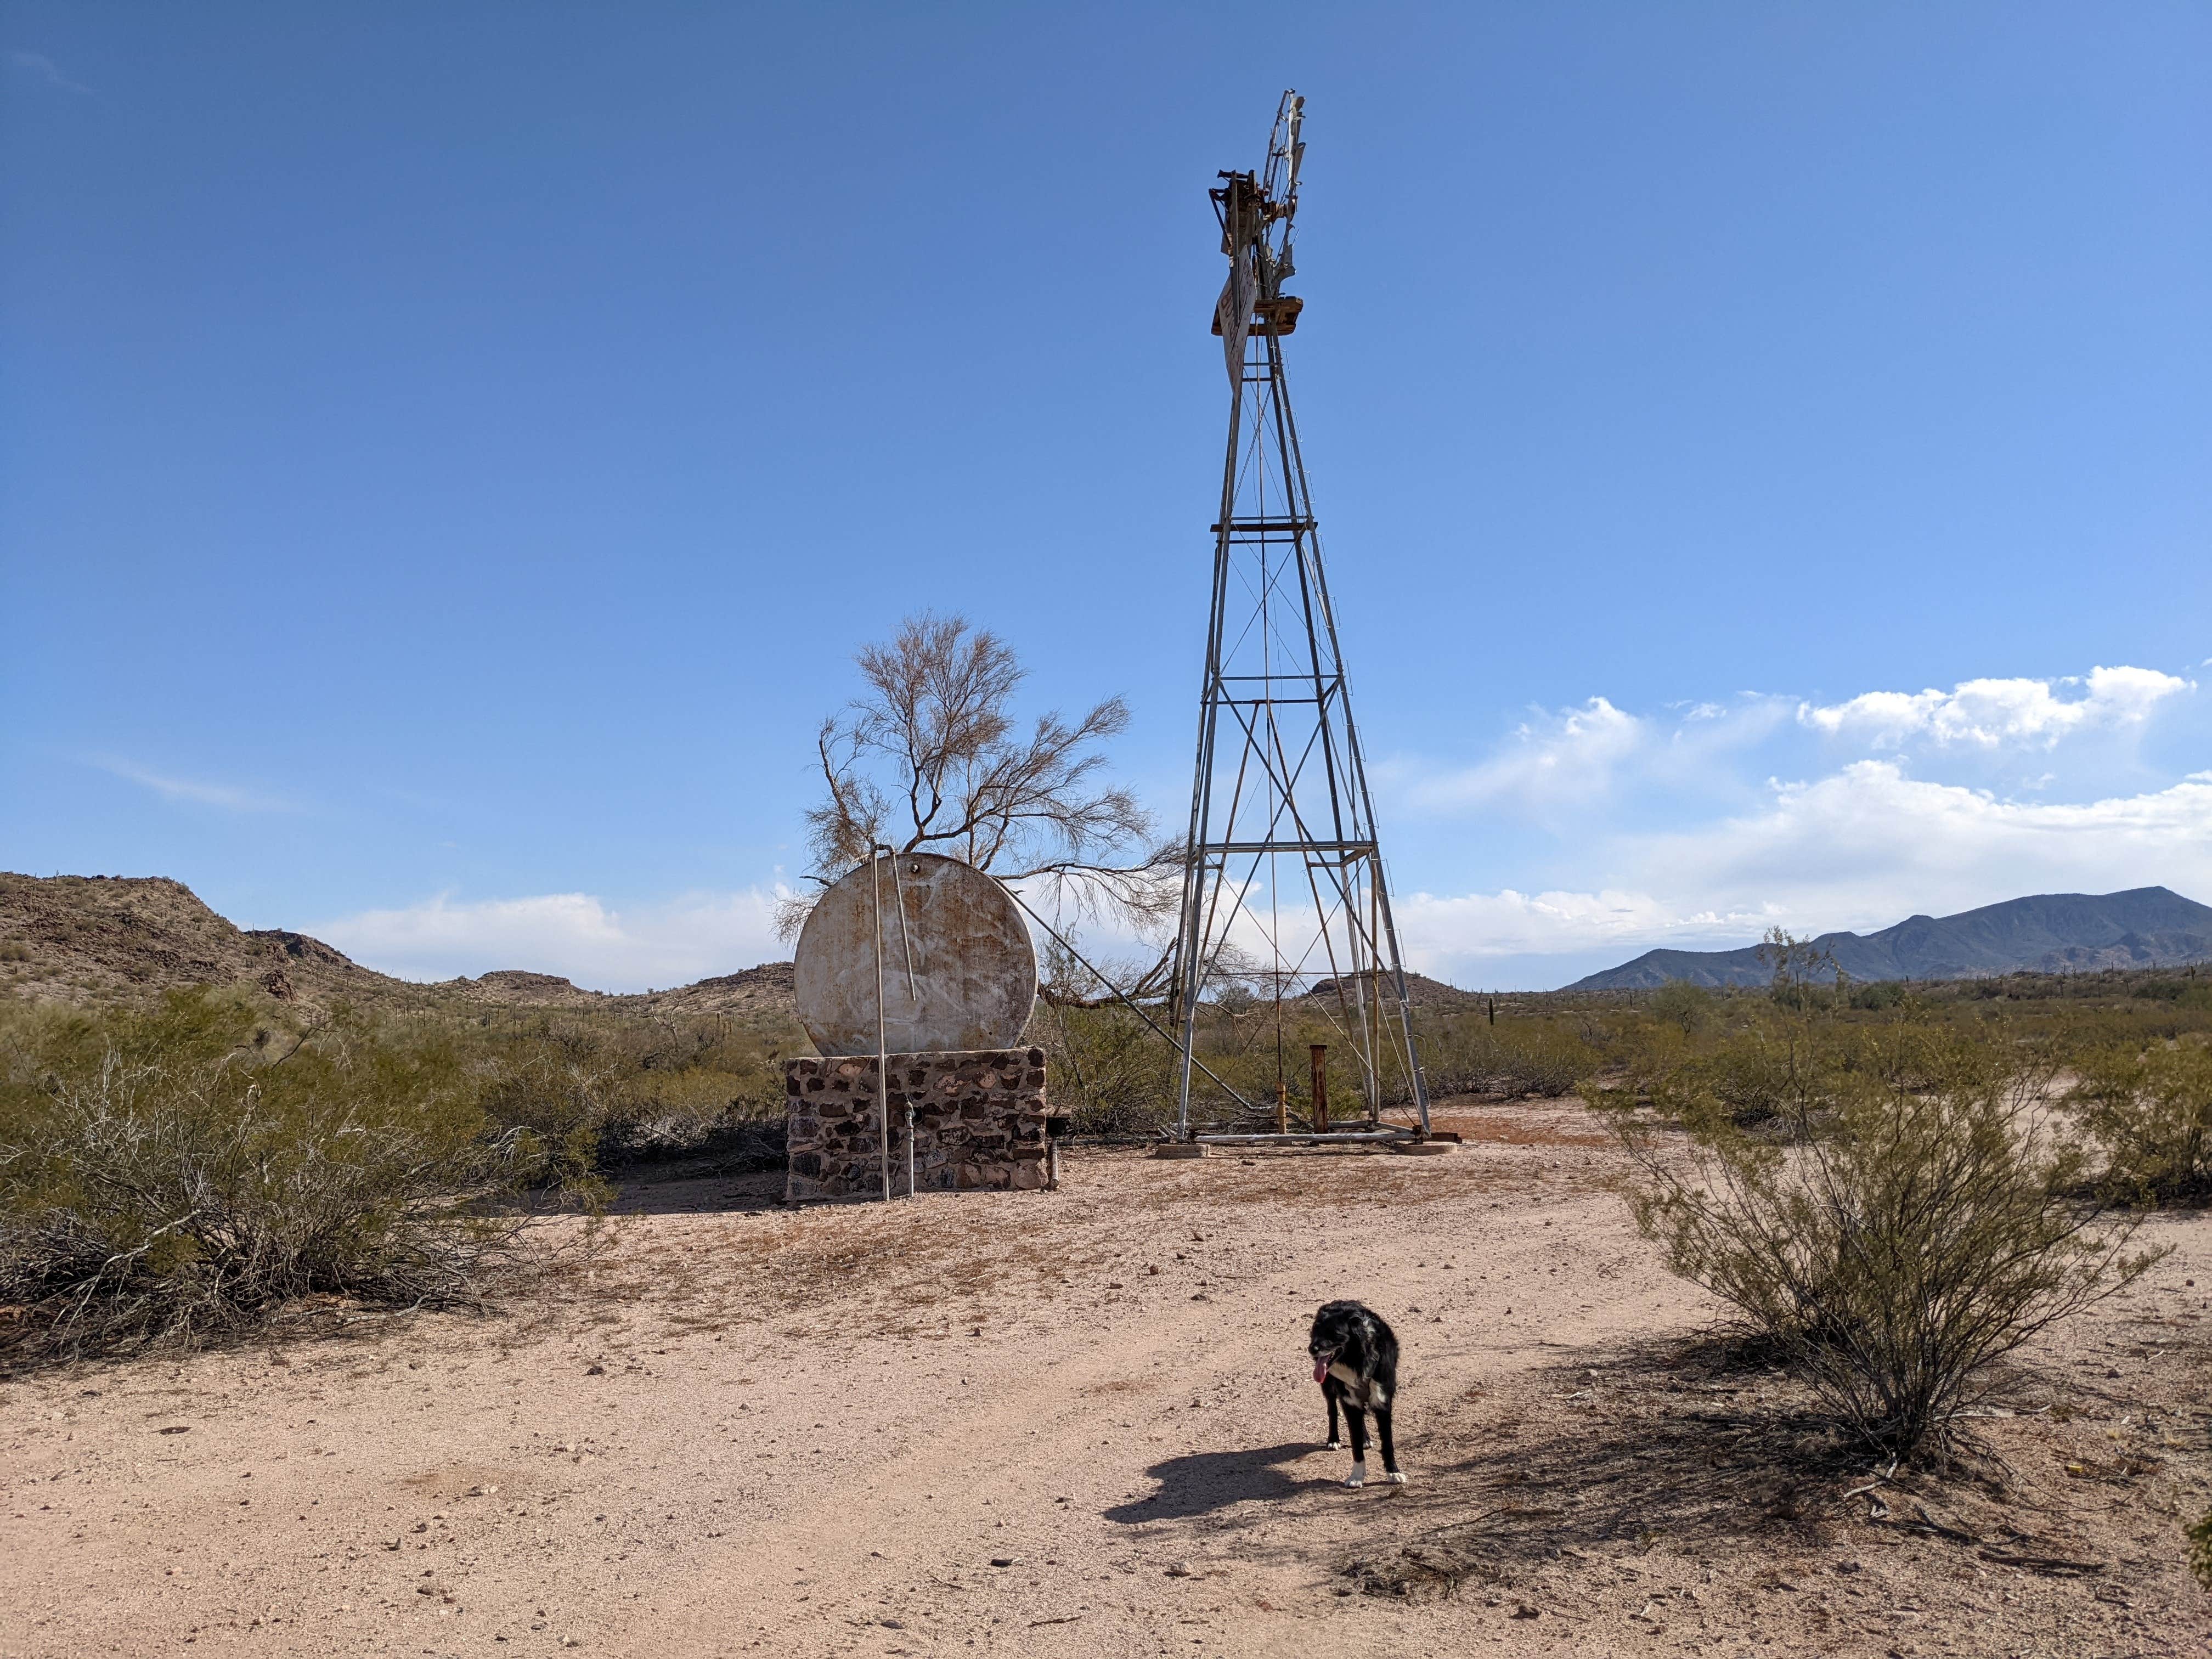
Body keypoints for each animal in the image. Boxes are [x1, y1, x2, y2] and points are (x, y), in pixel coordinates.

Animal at [1300, 1300, 1407, 1495]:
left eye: (1334, 1333)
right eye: (1316, 1330)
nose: (1312, 1349)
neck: (1356, 1359)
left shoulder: (1382, 1402)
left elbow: (1387, 1443)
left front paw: (1393, 1472)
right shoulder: (1349, 1403)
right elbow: (1355, 1444)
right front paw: (1357, 1477)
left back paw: (1366, 1439)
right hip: (1329, 1385)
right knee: (1333, 1411)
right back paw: (1333, 1440)